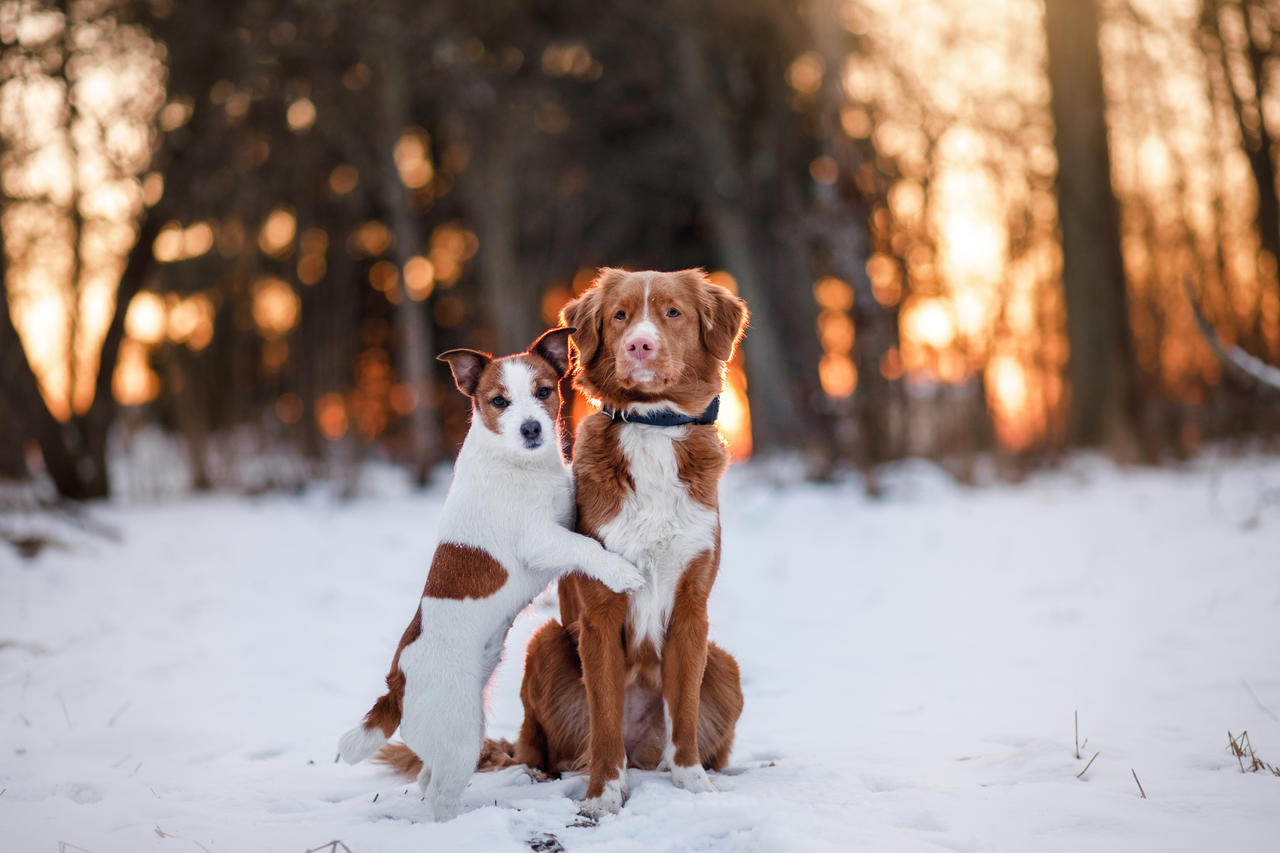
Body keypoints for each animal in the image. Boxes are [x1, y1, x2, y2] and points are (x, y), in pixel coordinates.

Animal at [337, 325, 645, 819]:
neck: (518, 464)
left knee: (428, 777)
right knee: (440, 797)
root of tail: (397, 685)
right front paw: (621, 570)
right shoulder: (541, 539)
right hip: (461, 735)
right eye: (499, 401)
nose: (531, 428)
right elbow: (585, 546)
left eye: (543, 392)